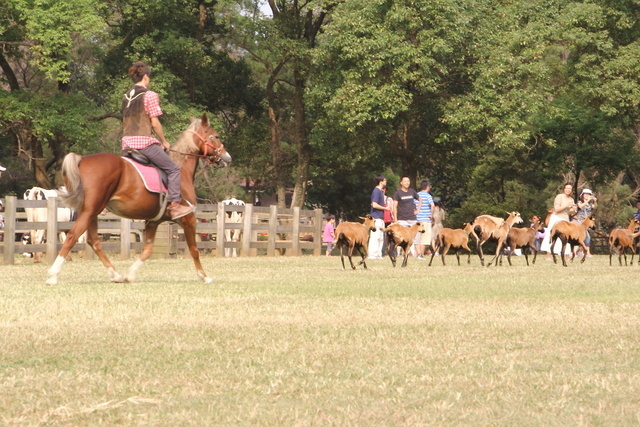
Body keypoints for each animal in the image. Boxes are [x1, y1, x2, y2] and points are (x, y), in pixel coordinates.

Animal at [45, 114, 230, 288]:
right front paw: (204, 276)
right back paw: (53, 275)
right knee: (72, 236)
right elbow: (194, 249)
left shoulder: (153, 222)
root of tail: (82, 159)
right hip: (90, 210)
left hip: (92, 212)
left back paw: (116, 275)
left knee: (93, 241)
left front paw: (130, 275)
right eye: (215, 136)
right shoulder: (188, 218)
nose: (227, 158)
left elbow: (147, 251)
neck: (181, 168)